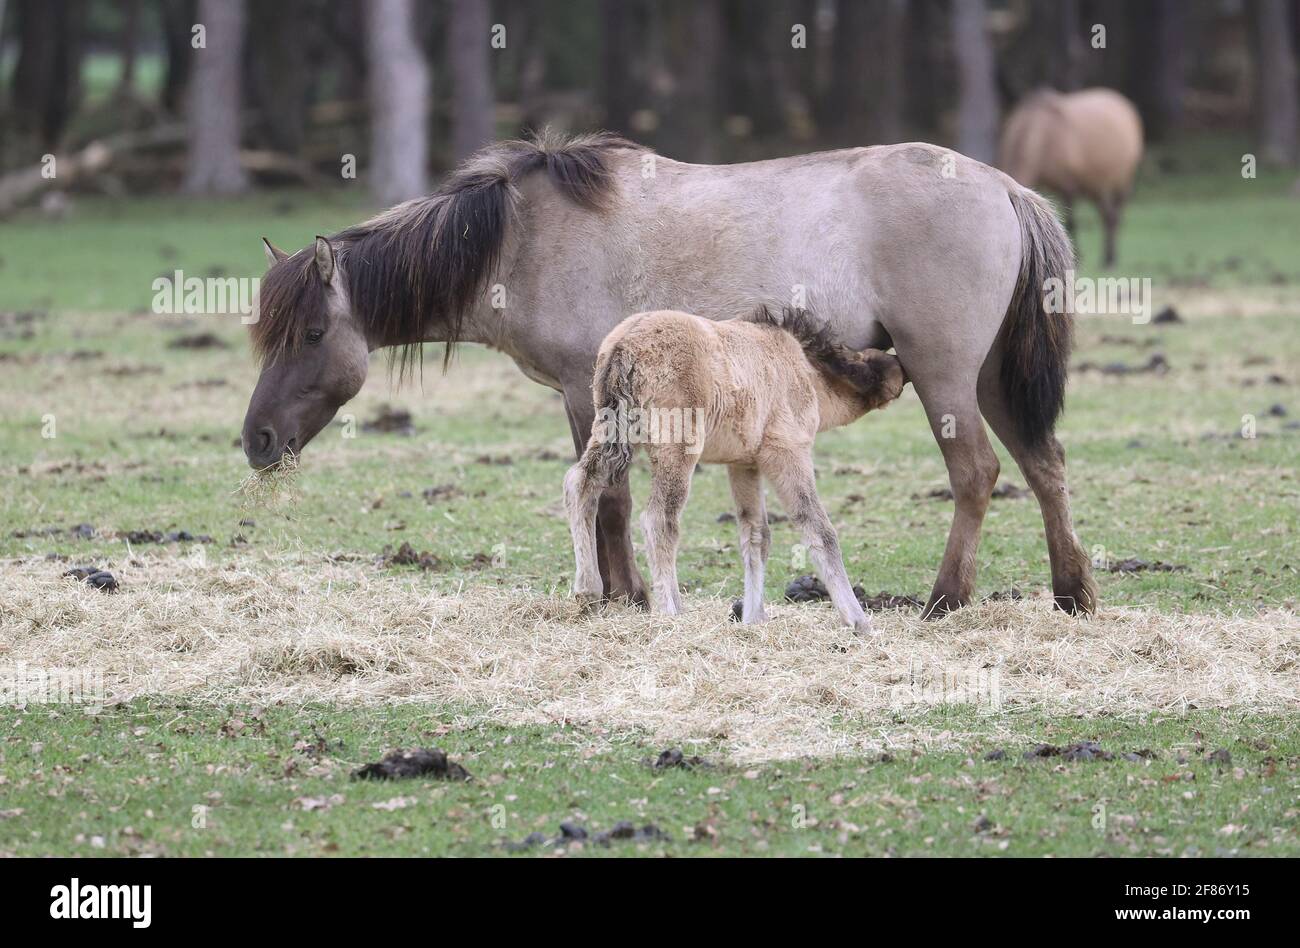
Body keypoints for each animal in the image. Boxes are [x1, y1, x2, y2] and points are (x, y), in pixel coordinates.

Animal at [241, 135, 1097, 621]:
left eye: (312, 333)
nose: (257, 439)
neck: (519, 239)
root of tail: (1006, 188)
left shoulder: (586, 394)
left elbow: (613, 501)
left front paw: (623, 595)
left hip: (944, 376)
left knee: (977, 472)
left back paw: (946, 600)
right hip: (989, 379)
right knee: (1045, 466)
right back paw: (1070, 594)